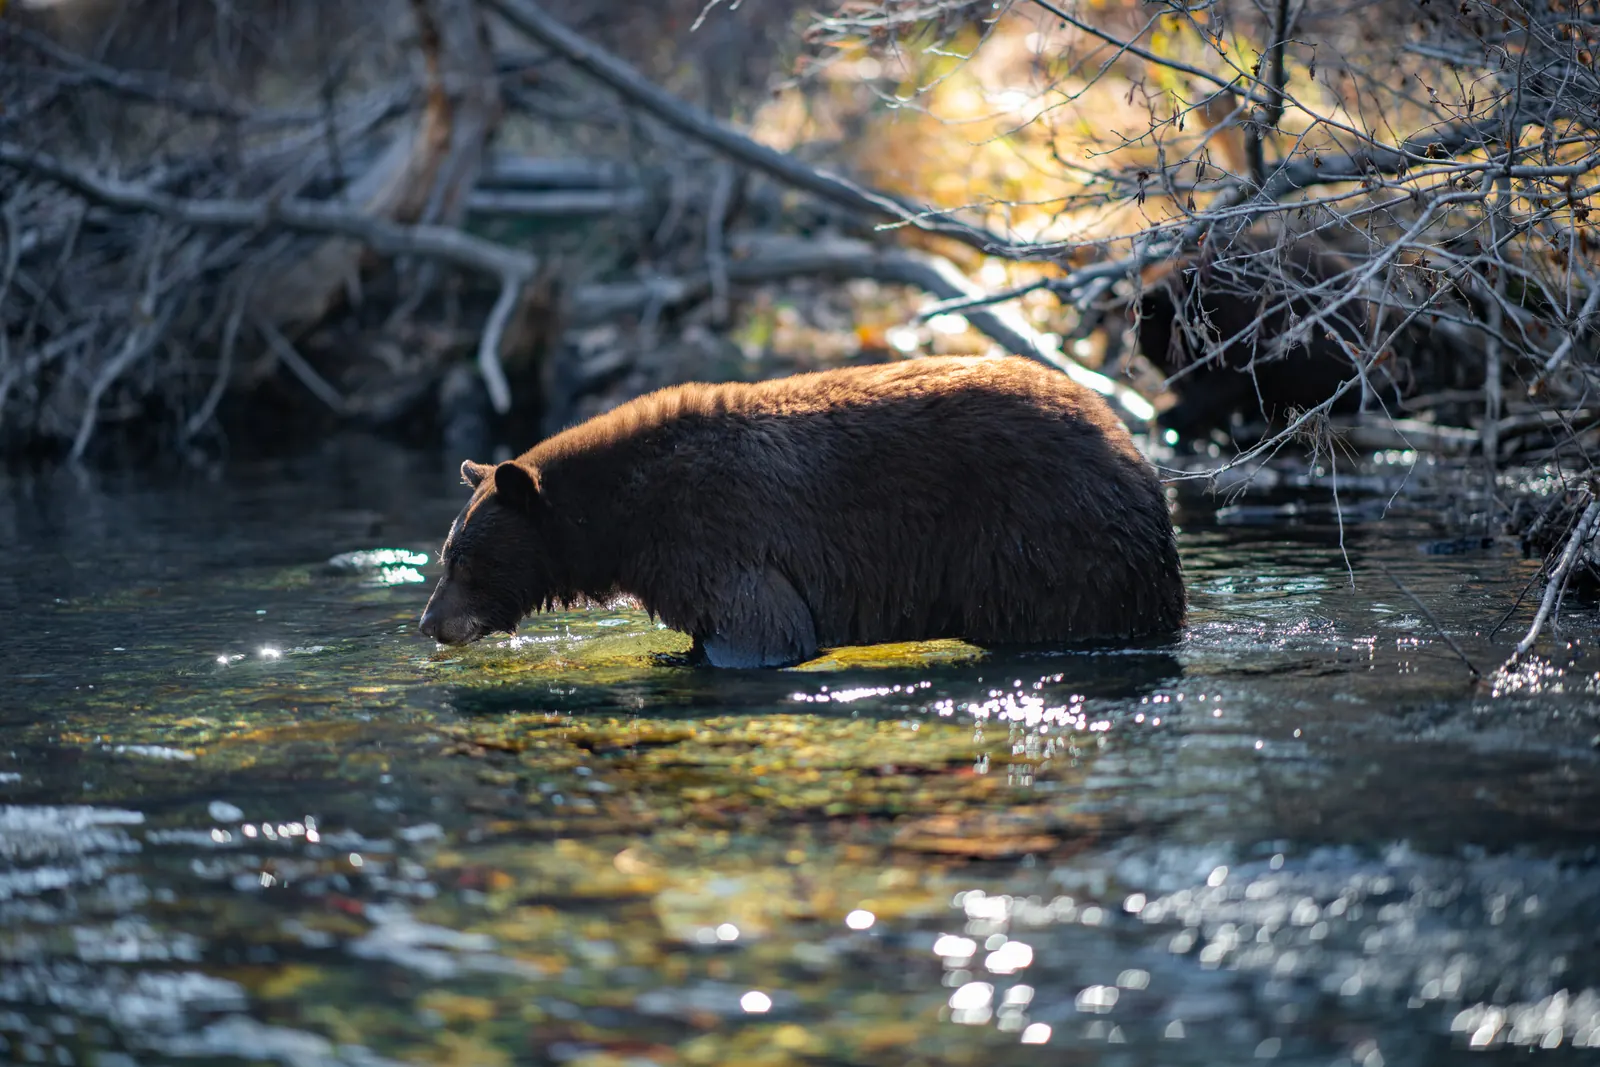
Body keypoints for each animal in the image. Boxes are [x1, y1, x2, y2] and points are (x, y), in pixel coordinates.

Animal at [418, 355, 1186, 668]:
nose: (428, 622)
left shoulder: (715, 536)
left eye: (461, 558)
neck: (618, 512)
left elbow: (759, 629)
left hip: (1041, 543)